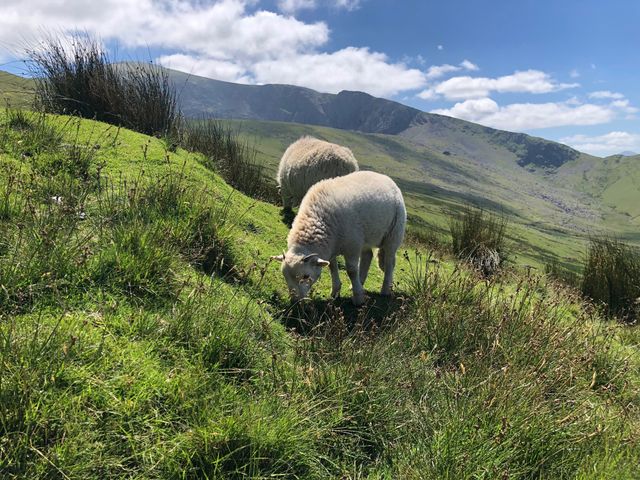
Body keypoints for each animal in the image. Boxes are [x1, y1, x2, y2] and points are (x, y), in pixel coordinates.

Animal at [272, 170, 406, 306]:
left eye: (306, 276)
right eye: (284, 276)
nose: (296, 301)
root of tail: (385, 177)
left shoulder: (352, 245)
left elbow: (351, 271)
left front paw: (358, 298)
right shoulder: (333, 246)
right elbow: (332, 267)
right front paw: (336, 291)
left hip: (394, 233)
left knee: (389, 262)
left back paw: (385, 290)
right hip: (365, 238)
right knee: (368, 256)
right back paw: (360, 283)